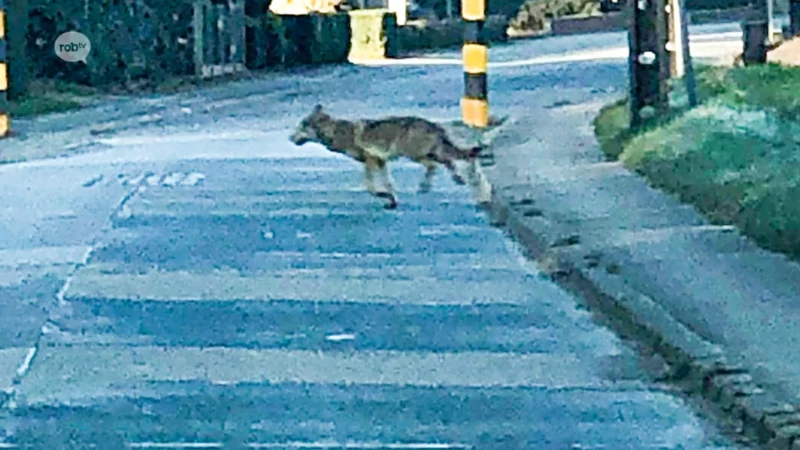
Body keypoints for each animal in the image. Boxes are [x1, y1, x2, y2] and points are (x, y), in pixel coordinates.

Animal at [284, 104, 490, 210]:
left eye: (301, 127)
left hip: (415, 154)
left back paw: (431, 185)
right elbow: (388, 184)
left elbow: (371, 187)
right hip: (429, 152)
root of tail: (433, 125)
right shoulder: (380, 162)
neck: (335, 131)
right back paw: (459, 180)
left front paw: (385, 196)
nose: (289, 138)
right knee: (451, 161)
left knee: (437, 165)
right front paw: (392, 200)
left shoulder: (371, 161)